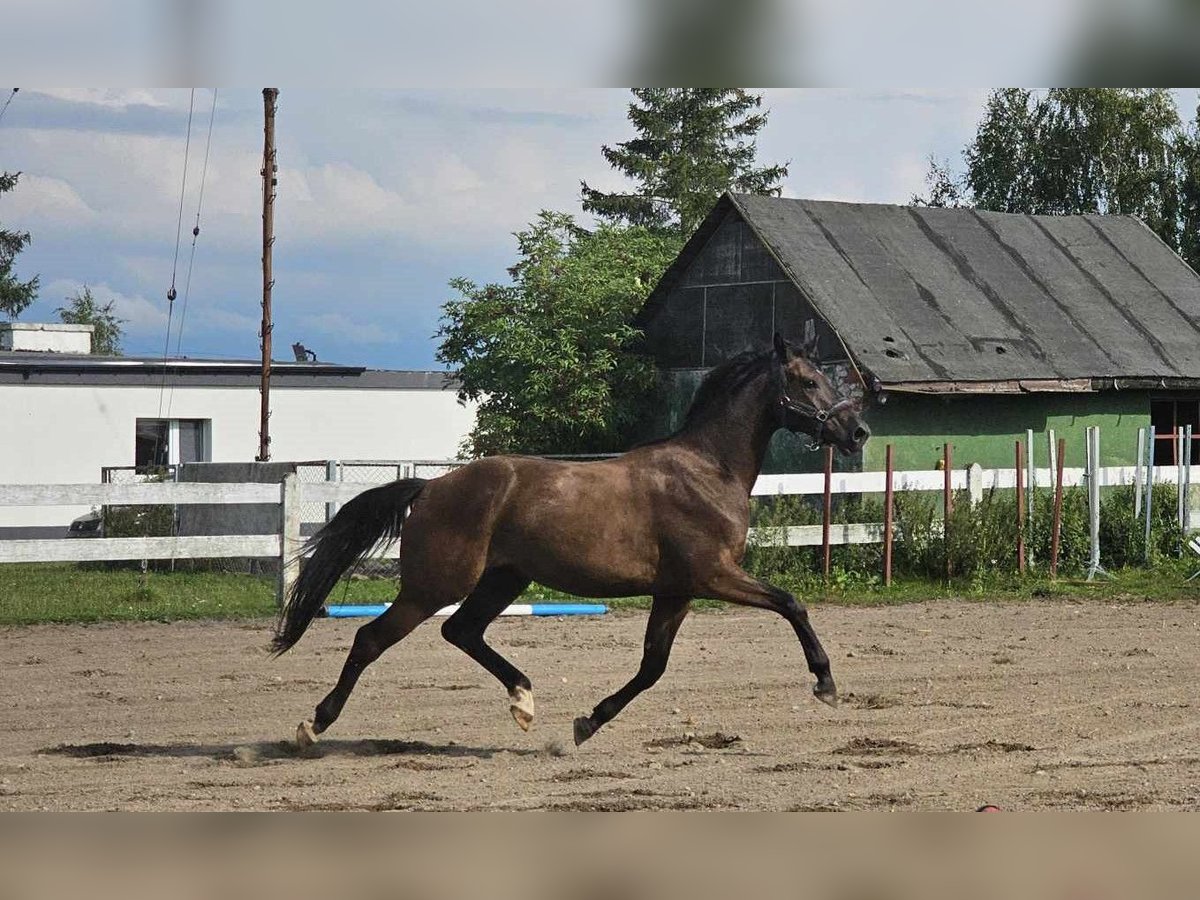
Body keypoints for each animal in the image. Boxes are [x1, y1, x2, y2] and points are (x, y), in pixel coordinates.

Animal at [274, 331, 873, 748]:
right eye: (809, 382)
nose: (858, 432)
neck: (707, 470)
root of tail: (432, 486)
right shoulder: (713, 575)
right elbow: (792, 604)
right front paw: (825, 684)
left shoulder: (676, 590)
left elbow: (652, 666)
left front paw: (588, 723)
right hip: (434, 585)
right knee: (371, 639)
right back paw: (313, 726)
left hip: (504, 580)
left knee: (461, 631)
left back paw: (524, 701)